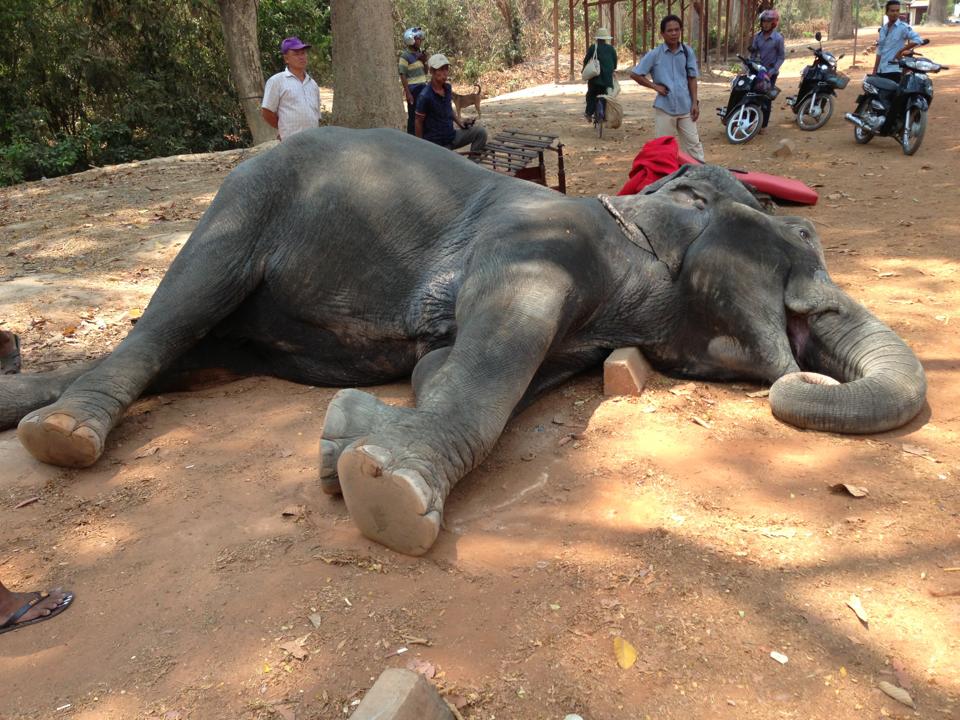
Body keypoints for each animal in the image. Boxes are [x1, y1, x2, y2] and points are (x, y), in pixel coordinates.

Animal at [1, 128, 926, 555]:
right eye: (801, 243)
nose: (809, 373)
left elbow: (448, 364)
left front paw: (347, 440)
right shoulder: (538, 243)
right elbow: (496, 346)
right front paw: (385, 494)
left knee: (193, 351)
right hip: (247, 200)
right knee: (181, 307)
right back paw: (63, 437)